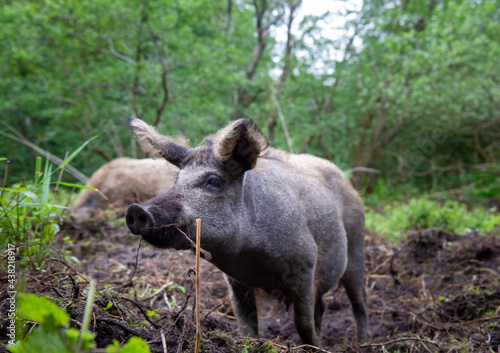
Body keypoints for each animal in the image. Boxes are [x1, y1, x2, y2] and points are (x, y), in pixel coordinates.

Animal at [125, 117, 368, 344]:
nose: (136, 209)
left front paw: (315, 345)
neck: (247, 255)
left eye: (213, 181)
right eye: (177, 181)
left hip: (356, 246)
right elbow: (246, 325)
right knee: (323, 305)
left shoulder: (305, 265)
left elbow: (303, 324)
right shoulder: (235, 281)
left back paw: (361, 342)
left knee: (359, 301)